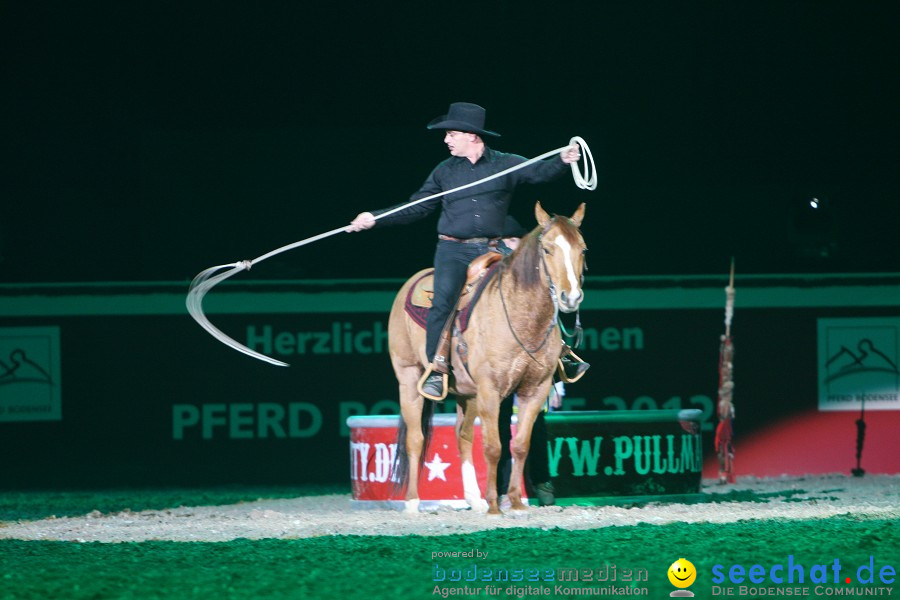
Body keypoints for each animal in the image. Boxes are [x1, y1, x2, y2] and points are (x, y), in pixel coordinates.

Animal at [388, 202, 588, 516]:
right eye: (547, 249)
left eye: (582, 249)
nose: (571, 297)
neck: (520, 314)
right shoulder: (491, 390)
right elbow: (493, 447)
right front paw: (495, 505)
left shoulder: (535, 389)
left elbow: (519, 445)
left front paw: (515, 502)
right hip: (409, 378)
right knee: (415, 438)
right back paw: (412, 503)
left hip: (467, 394)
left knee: (463, 436)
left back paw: (474, 498)